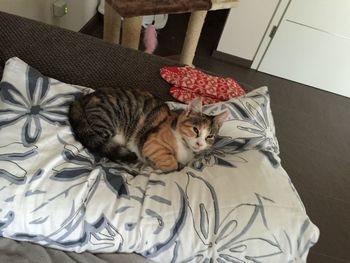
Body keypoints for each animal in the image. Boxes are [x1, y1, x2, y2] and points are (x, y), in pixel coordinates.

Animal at [68, 88, 228, 173]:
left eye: (210, 136)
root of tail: (85, 97)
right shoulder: (152, 143)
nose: (200, 144)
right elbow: (171, 162)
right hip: (107, 125)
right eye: (195, 130)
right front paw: (162, 165)